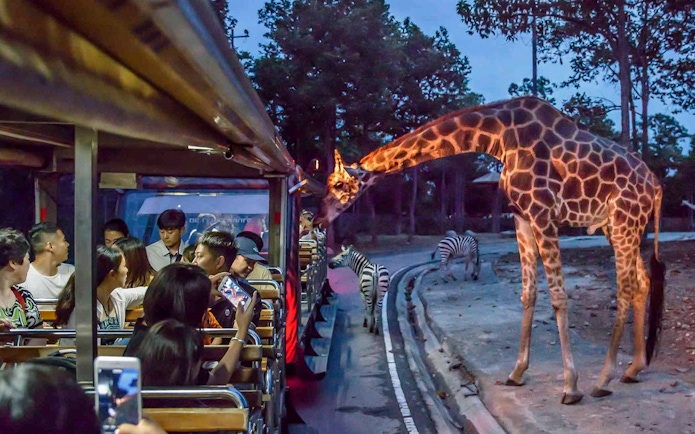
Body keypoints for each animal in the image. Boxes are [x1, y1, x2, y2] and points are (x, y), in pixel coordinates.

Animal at [314, 96, 666, 405]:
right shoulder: (523, 217)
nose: (318, 218)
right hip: (618, 226)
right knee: (642, 282)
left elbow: (557, 296)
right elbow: (529, 293)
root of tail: (656, 185)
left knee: (625, 287)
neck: (499, 136)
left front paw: (571, 387)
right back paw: (633, 369)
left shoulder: (543, 215)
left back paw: (603, 380)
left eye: (339, 185)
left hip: (624, 222)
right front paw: (517, 373)